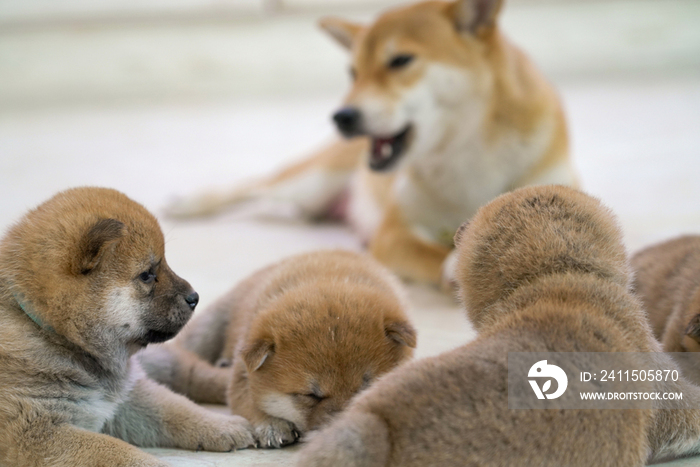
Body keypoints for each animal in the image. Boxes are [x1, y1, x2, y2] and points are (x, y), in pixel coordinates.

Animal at [0, 187, 256, 467]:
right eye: (147, 275)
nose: (194, 297)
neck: (52, 333)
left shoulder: (128, 396)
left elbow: (175, 407)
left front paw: (222, 424)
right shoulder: (34, 433)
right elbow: (118, 450)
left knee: (194, 373)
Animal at [139, 252, 418, 450]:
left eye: (368, 387)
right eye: (310, 395)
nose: (341, 431)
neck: (327, 277)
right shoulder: (242, 376)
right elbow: (249, 402)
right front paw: (271, 426)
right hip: (206, 329)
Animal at [165, 0, 580, 286]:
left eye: (400, 60)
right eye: (353, 72)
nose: (342, 117)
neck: (465, 154)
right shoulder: (395, 232)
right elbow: (432, 250)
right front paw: (456, 261)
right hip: (309, 181)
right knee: (253, 186)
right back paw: (188, 202)